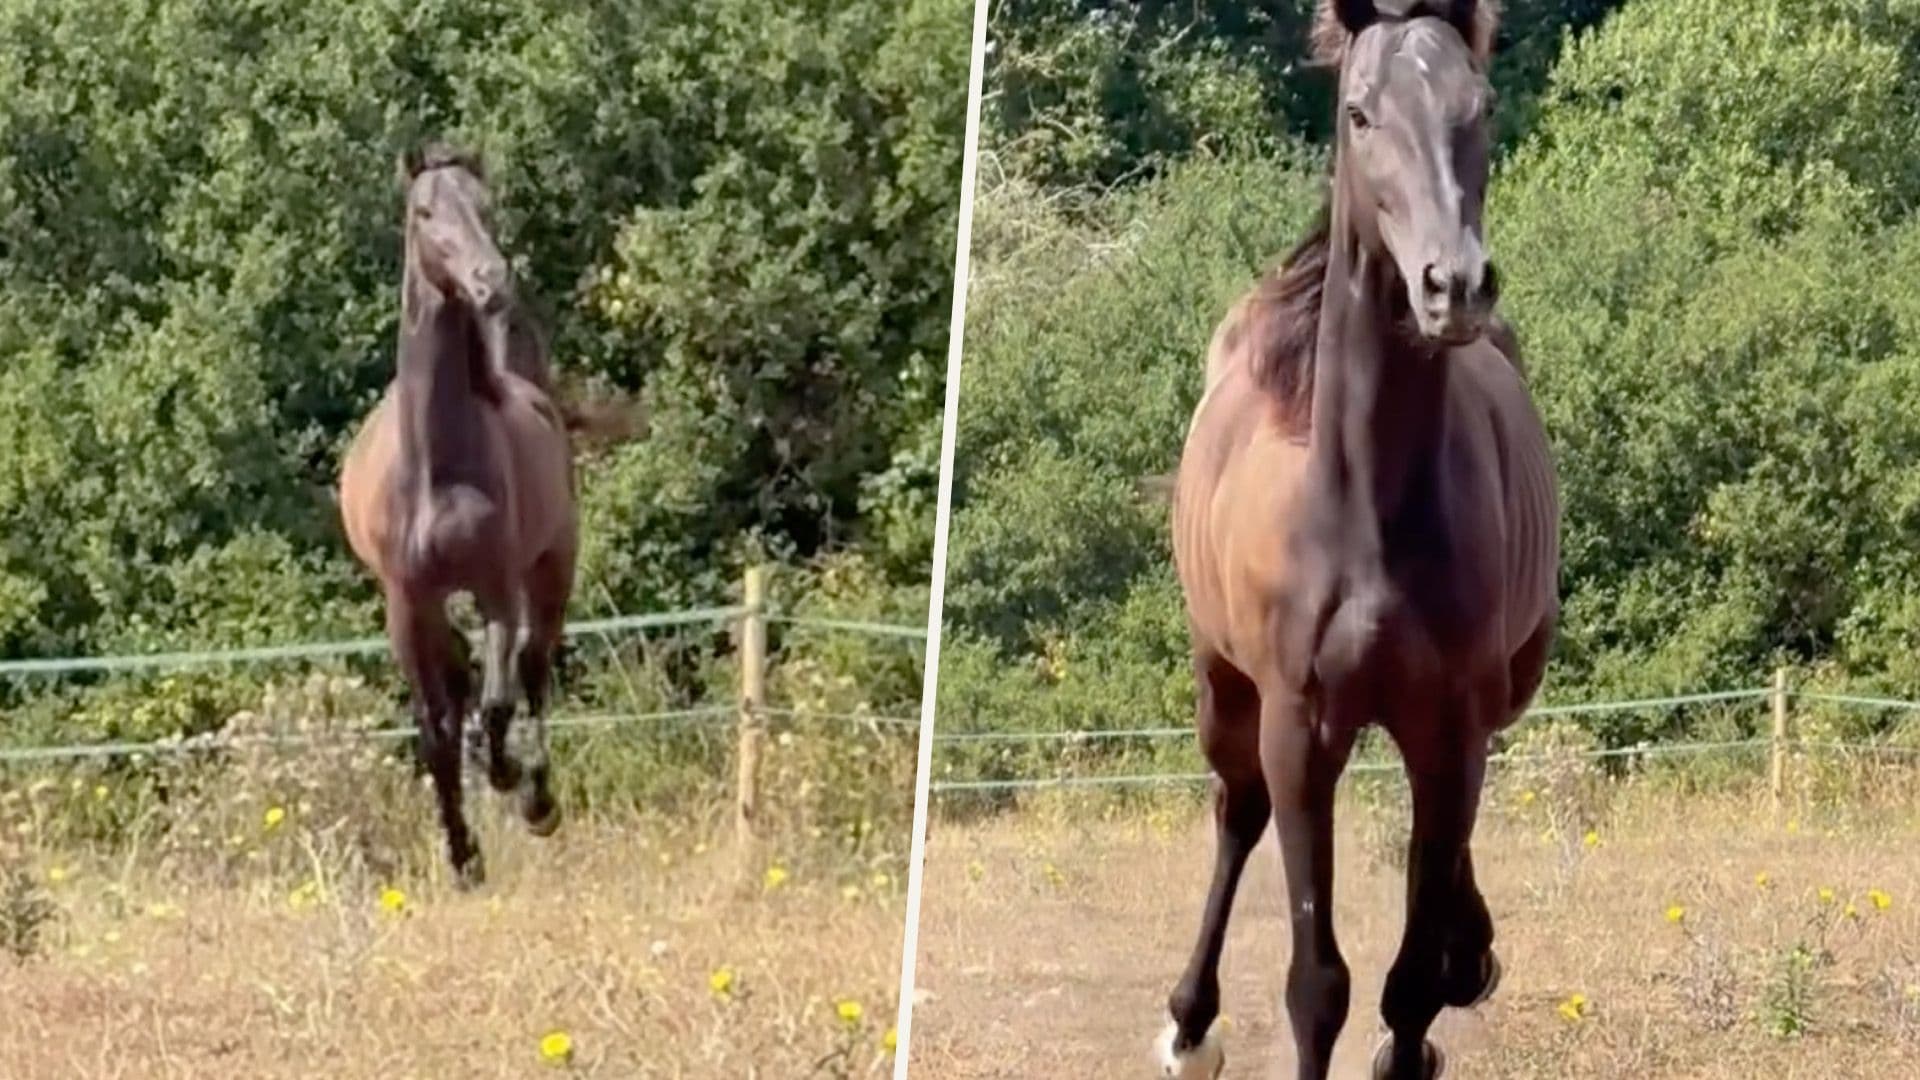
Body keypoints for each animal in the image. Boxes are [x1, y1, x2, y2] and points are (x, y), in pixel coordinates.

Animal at [338, 144, 578, 886]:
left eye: (484, 204)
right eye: (424, 212)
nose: (490, 281)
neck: (436, 469)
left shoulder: (497, 586)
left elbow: (499, 699)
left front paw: (509, 780)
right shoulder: (407, 603)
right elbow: (434, 732)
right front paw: (462, 856)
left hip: (552, 569)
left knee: (531, 670)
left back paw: (536, 795)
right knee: (465, 676)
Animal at [1156, 2, 1558, 1078]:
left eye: (1479, 102)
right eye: (1361, 112)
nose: (1453, 285)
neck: (1366, 513)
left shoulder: (1452, 726)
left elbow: (1408, 978)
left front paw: (1440, 988)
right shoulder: (1300, 729)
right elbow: (1317, 982)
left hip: (1502, 691)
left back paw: (1468, 950)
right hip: (1225, 688)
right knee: (1236, 812)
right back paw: (1190, 1023)